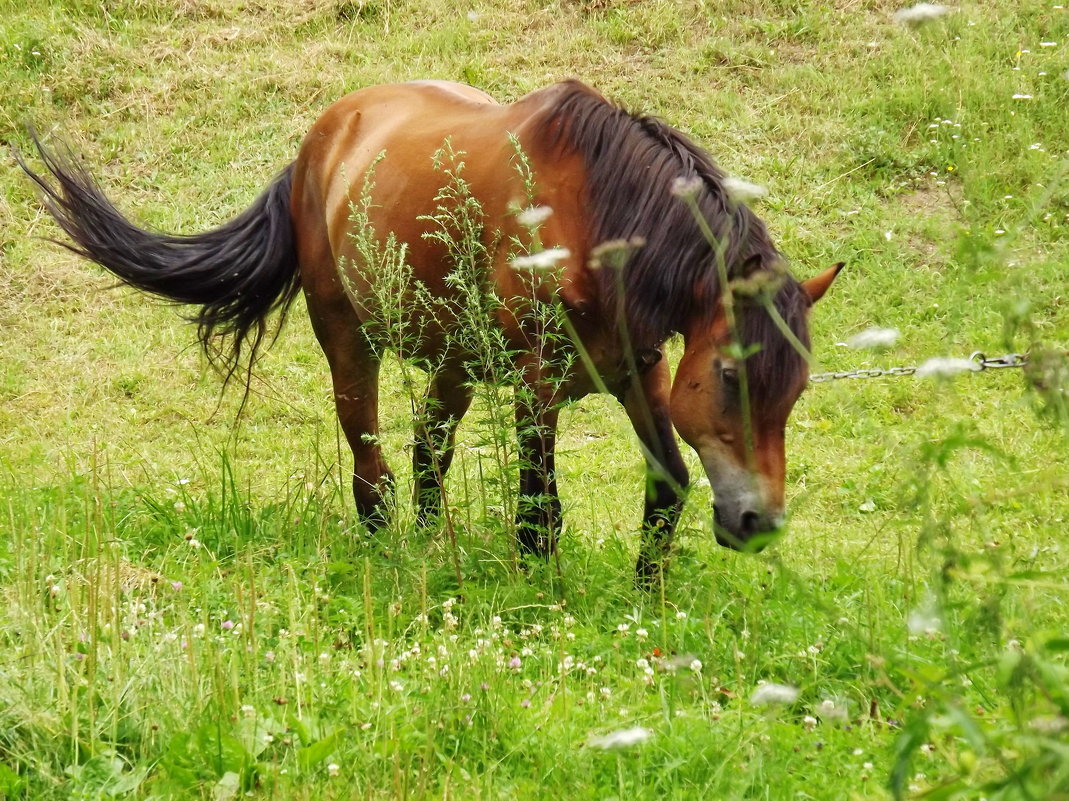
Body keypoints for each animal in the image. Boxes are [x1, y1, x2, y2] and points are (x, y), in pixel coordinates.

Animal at [14, 79, 833, 581]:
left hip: (456, 360)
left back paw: (436, 550)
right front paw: (543, 599)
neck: (590, 217)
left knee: (426, 453)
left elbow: (667, 485)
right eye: (730, 374)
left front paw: (646, 598)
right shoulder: (537, 383)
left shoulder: (640, 369)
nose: (758, 520)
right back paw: (392, 554)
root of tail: (318, 142)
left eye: (795, 391)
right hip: (349, 340)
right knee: (373, 461)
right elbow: (539, 511)